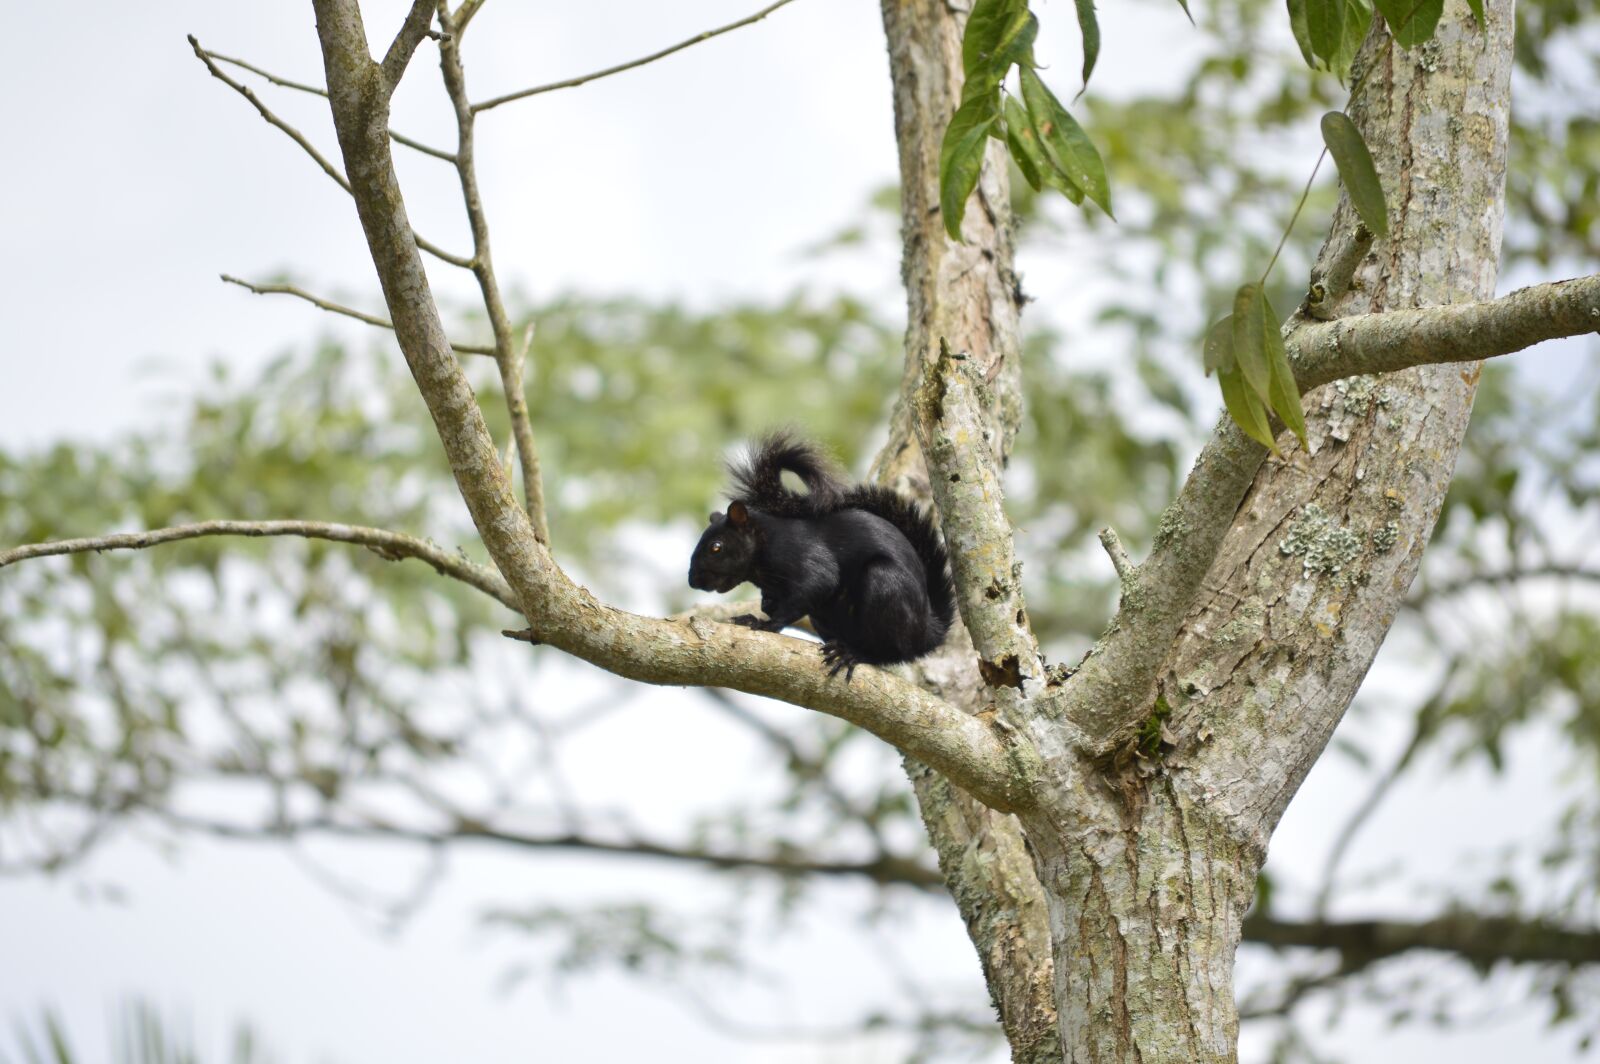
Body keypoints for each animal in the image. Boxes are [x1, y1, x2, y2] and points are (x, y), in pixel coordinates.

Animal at [687, 432, 956, 680]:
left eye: (716, 547)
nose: (693, 581)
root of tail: (927, 631)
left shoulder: (801, 553)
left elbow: (818, 583)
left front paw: (764, 624)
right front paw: (765, 605)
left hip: (885, 583)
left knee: (891, 652)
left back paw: (854, 654)